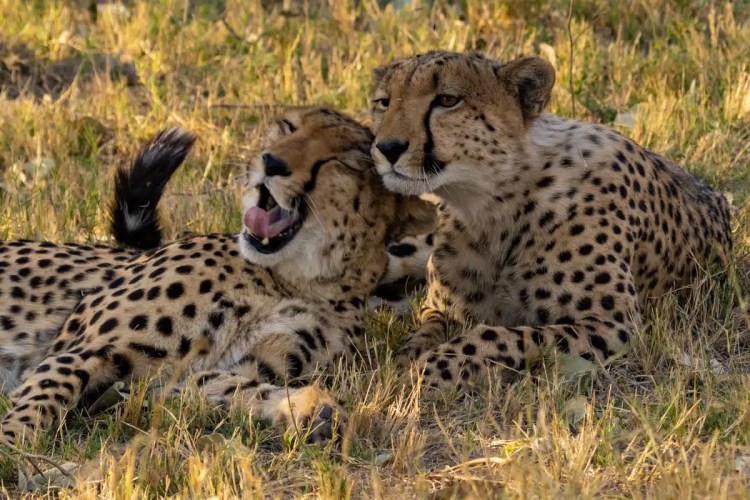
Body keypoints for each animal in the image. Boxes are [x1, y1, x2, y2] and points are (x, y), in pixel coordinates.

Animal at [0, 107, 435, 445]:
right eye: (289, 127)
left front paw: (309, 410)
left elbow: (227, 386)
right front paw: (14, 449)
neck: (294, 280)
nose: (272, 163)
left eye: (339, 161)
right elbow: (45, 396)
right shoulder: (82, 349)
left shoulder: (154, 384)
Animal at [368, 50, 733, 392]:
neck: (490, 204)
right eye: (383, 102)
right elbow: (425, 331)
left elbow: (505, 336)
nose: (387, 147)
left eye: (447, 100)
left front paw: (435, 366)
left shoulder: (614, 325)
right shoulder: (441, 308)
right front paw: (407, 360)